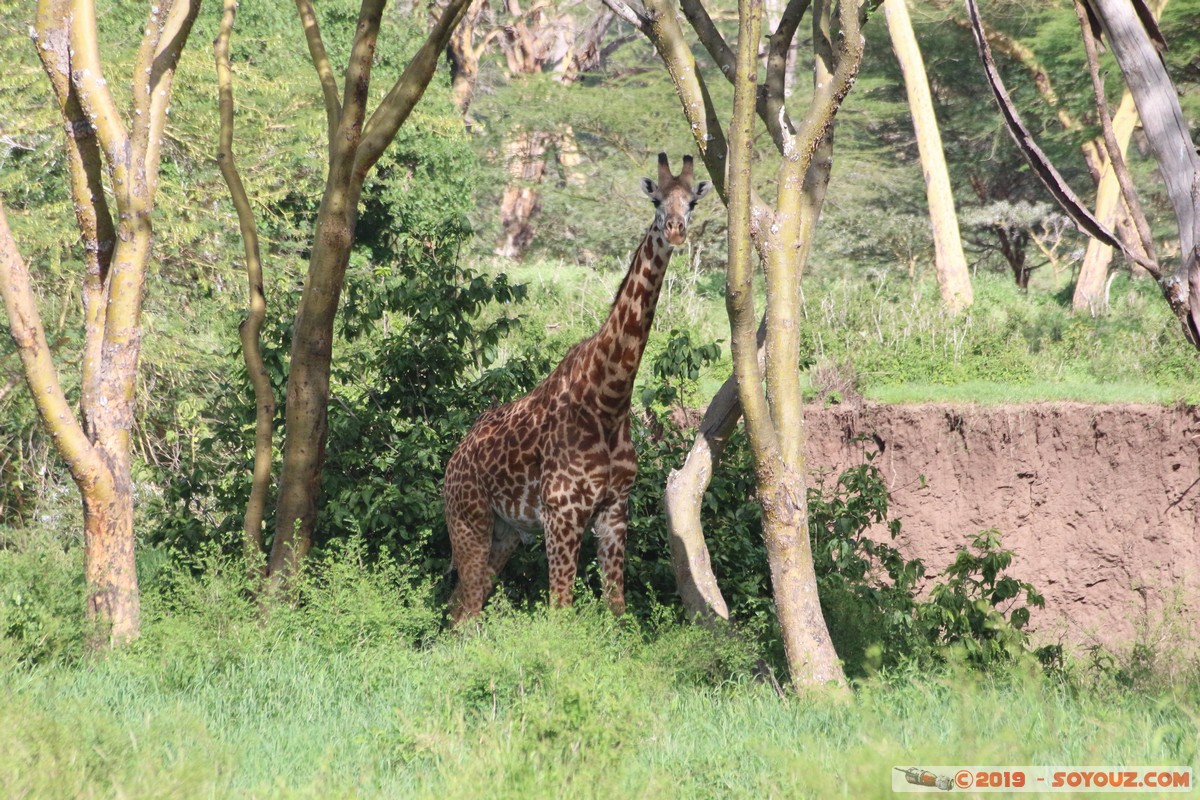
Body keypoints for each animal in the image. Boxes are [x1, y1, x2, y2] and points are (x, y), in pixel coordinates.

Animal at [444, 153, 710, 623]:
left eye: (691, 202)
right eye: (656, 200)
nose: (676, 230)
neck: (609, 398)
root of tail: (452, 462)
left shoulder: (615, 510)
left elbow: (617, 608)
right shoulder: (561, 513)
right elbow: (561, 610)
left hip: (504, 531)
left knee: (465, 609)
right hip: (468, 519)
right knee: (466, 608)